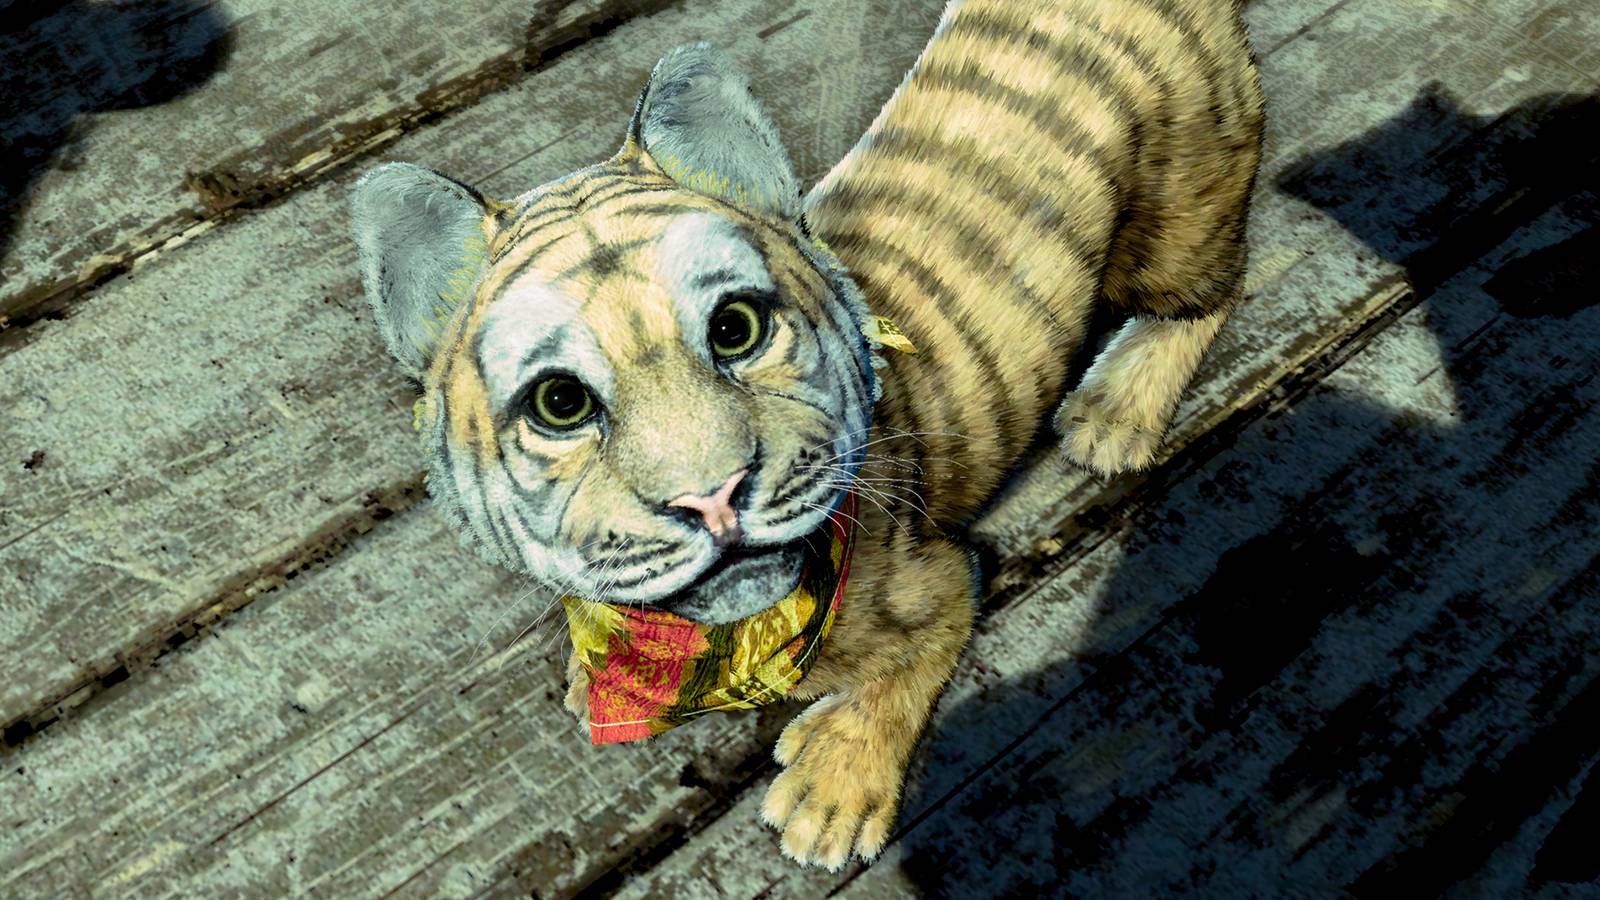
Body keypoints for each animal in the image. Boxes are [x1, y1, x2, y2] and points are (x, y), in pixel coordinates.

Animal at [350, 0, 1264, 872]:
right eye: (561, 403)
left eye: (736, 329)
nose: (711, 496)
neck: (715, 642)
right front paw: (592, 674)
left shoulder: (942, 578)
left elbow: (909, 663)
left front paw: (831, 793)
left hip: (1177, 215)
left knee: (1214, 286)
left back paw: (1113, 411)